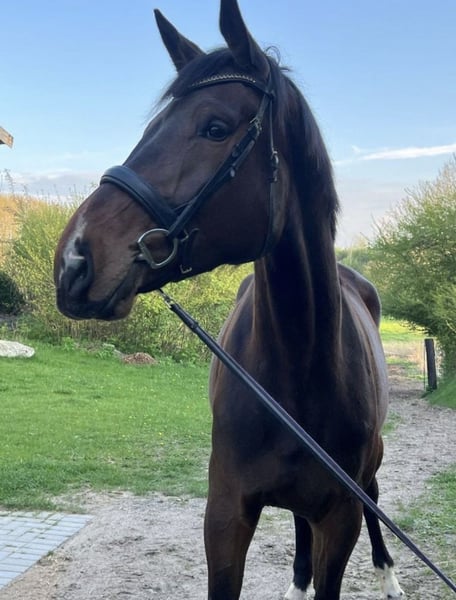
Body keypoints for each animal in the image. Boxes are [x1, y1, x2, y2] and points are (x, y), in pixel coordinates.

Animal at [54, 1, 405, 598]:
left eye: (214, 128)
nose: (74, 259)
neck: (296, 369)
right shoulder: (225, 515)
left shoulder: (340, 517)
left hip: (367, 473)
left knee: (376, 500)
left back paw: (388, 576)